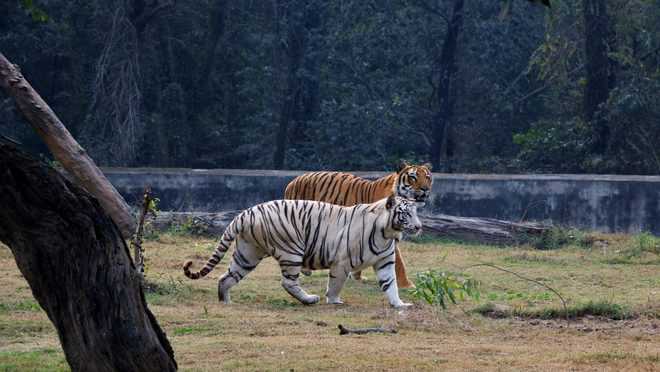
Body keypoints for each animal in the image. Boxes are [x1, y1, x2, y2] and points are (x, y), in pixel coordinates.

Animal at [183, 195, 420, 308]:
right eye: (406, 214)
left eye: (416, 212)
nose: (418, 227)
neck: (387, 233)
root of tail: (245, 213)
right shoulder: (342, 262)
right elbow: (336, 284)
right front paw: (333, 300)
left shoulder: (385, 262)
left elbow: (391, 285)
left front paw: (399, 304)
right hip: (291, 250)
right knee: (288, 282)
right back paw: (309, 299)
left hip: (247, 253)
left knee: (226, 277)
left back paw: (225, 301)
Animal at [284, 161, 434, 288]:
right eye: (413, 177)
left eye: (427, 177)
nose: (425, 189)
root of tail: (292, 182)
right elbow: (399, 263)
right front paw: (407, 285)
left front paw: (357, 277)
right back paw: (304, 270)